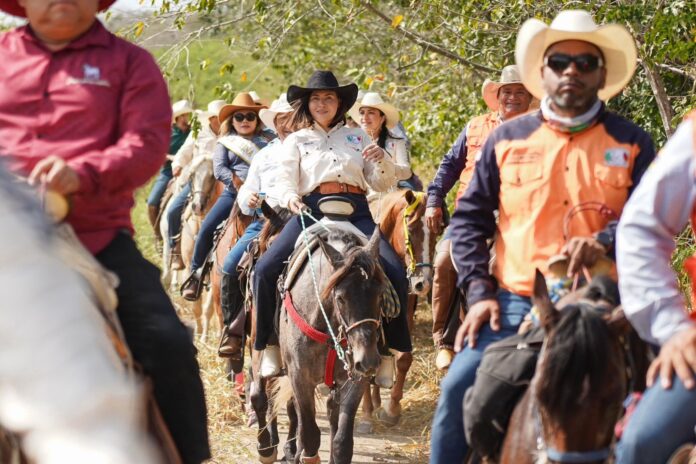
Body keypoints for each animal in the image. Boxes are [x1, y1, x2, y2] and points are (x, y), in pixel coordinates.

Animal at [362, 190, 438, 430]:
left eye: (437, 230)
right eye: (411, 229)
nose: (423, 283)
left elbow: (404, 358)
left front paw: (392, 409)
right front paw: (366, 414)